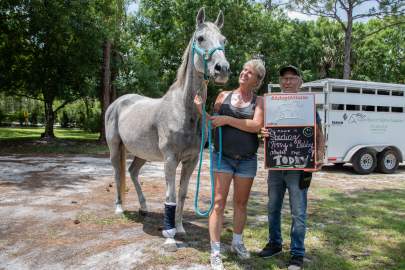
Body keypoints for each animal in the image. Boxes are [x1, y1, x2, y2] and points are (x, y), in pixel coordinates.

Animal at [104, 6, 229, 251]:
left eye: (223, 40)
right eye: (200, 38)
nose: (222, 69)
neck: (184, 110)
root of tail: (118, 102)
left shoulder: (191, 160)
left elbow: (181, 194)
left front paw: (179, 228)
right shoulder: (170, 159)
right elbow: (170, 196)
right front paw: (170, 237)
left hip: (142, 153)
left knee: (132, 172)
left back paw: (143, 208)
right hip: (115, 147)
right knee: (117, 172)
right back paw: (119, 208)